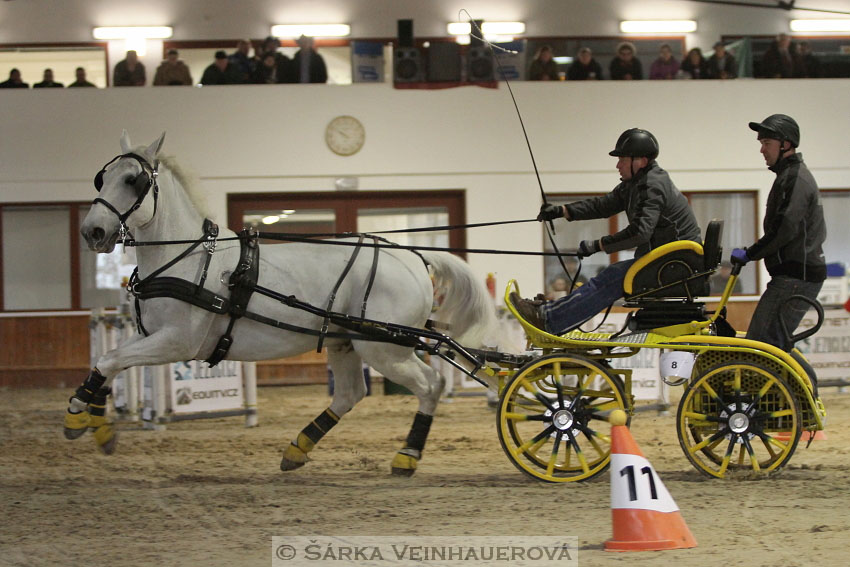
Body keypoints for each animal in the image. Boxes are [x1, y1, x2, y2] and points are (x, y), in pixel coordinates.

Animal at [68, 132, 496, 474]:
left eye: (133, 179)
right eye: (102, 177)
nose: (93, 232)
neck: (188, 257)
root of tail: (414, 257)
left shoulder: (176, 342)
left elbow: (111, 361)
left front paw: (77, 415)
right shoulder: (149, 336)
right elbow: (109, 362)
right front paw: (97, 423)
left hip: (385, 349)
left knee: (431, 385)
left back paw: (407, 456)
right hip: (347, 342)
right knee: (350, 394)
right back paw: (297, 449)